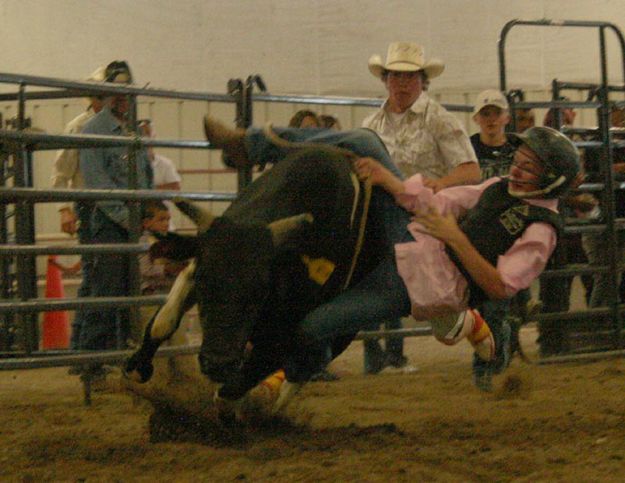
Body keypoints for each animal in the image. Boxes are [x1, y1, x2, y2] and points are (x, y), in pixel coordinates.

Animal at [124, 147, 382, 400]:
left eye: (260, 291)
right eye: (203, 281)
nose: (218, 364)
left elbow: (238, 384)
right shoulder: (193, 267)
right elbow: (163, 321)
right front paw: (138, 367)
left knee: (301, 371)